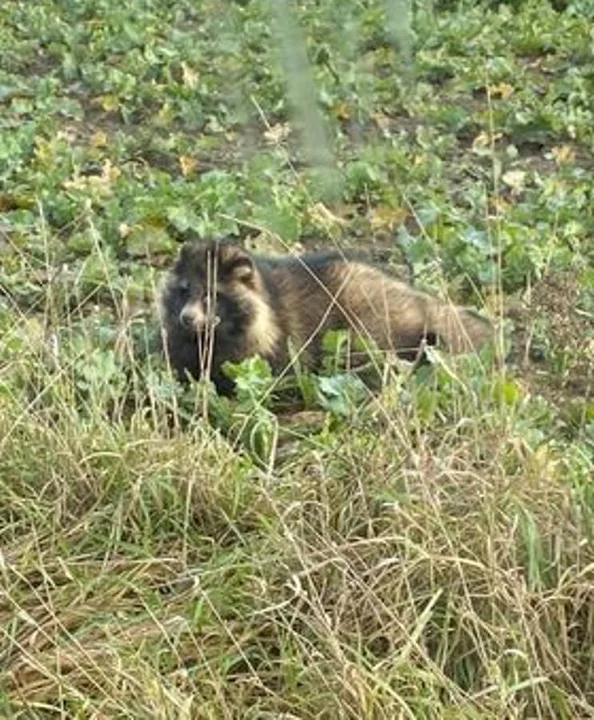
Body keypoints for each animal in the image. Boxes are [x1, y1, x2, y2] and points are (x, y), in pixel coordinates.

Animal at [157, 242, 490, 396]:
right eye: (184, 289)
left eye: (211, 295)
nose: (187, 318)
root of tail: (425, 303)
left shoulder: (275, 342)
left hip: (369, 325)